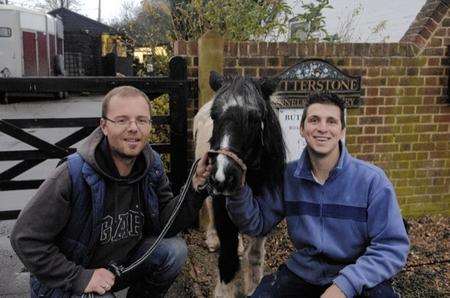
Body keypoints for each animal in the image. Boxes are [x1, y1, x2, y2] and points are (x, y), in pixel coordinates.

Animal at [205, 71, 284, 296]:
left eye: (256, 118)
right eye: (214, 116)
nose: (222, 176)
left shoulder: (265, 214)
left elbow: (255, 255)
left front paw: (253, 288)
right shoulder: (222, 209)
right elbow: (228, 259)